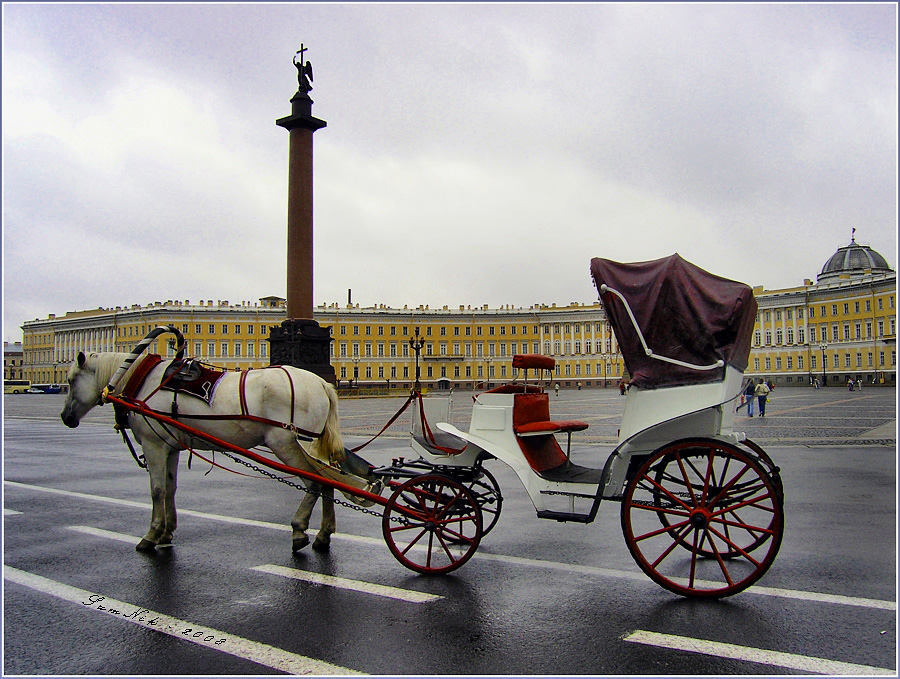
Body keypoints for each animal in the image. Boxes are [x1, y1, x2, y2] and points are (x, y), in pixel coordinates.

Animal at [60, 354, 362, 556]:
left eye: (71, 380)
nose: (65, 418)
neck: (144, 382)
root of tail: (323, 384)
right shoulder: (170, 446)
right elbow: (170, 488)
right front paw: (167, 532)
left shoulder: (153, 445)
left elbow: (157, 490)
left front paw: (151, 535)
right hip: (311, 447)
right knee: (328, 482)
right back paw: (323, 535)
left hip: (288, 444)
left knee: (314, 483)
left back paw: (299, 531)